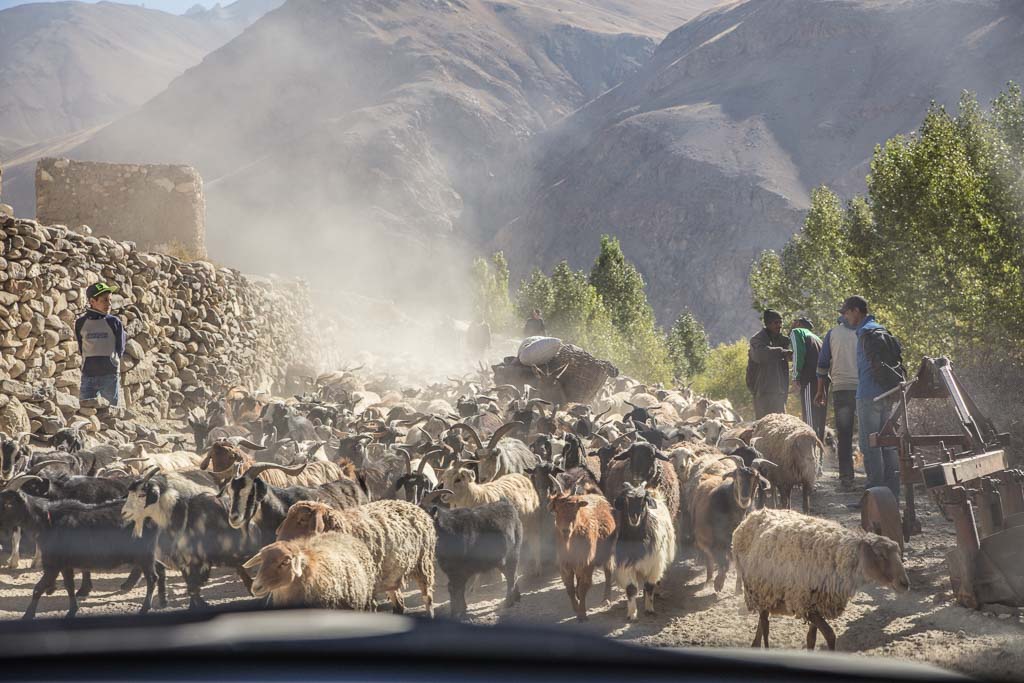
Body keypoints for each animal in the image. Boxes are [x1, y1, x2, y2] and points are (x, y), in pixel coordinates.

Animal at [548, 483, 618, 622]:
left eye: (575, 510)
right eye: (557, 509)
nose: (565, 530)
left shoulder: (586, 563)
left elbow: (583, 587)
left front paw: (582, 614)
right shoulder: (565, 565)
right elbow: (569, 588)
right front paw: (576, 607)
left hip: (609, 552)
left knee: (608, 573)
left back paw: (606, 599)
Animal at [733, 507, 909, 651]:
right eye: (880, 554)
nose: (905, 584)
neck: (838, 556)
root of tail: (752, 515)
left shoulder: (817, 602)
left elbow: (811, 639)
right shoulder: (802, 602)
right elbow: (830, 635)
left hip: (765, 592)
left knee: (762, 624)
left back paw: (755, 644)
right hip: (757, 588)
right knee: (765, 624)